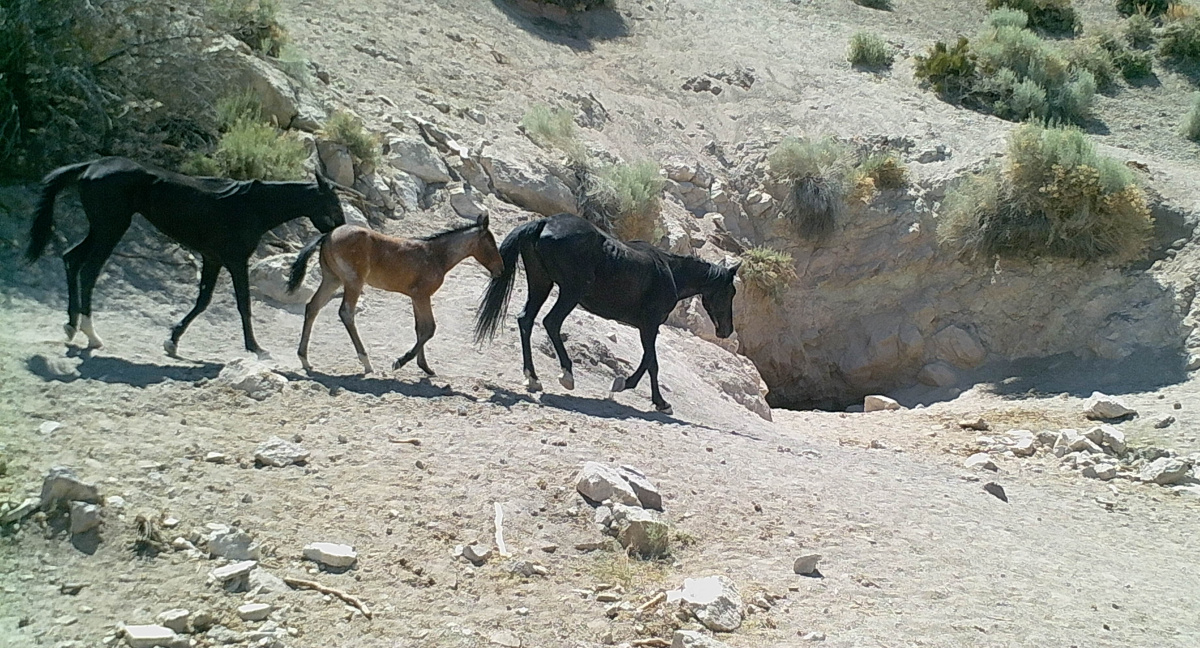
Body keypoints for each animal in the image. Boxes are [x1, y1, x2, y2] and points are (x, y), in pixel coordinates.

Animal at [23, 158, 345, 360]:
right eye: (333, 204)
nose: (342, 229)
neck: (251, 206)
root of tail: (90, 166)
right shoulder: (235, 260)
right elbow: (243, 304)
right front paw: (256, 348)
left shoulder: (212, 259)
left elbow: (203, 301)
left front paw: (172, 340)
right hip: (111, 228)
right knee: (89, 270)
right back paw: (91, 334)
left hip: (101, 228)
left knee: (71, 259)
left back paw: (71, 325)